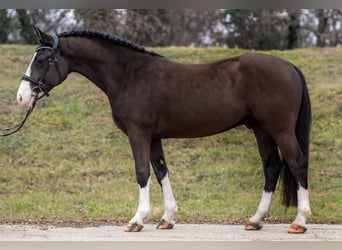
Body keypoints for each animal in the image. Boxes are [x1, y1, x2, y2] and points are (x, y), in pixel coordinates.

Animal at [16, 27, 312, 234]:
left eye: (43, 58)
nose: (22, 97)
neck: (130, 75)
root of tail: (289, 67)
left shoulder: (139, 134)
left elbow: (142, 173)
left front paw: (137, 219)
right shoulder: (154, 136)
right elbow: (161, 171)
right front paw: (167, 217)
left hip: (280, 129)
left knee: (296, 163)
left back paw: (299, 221)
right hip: (261, 129)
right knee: (271, 166)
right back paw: (256, 220)